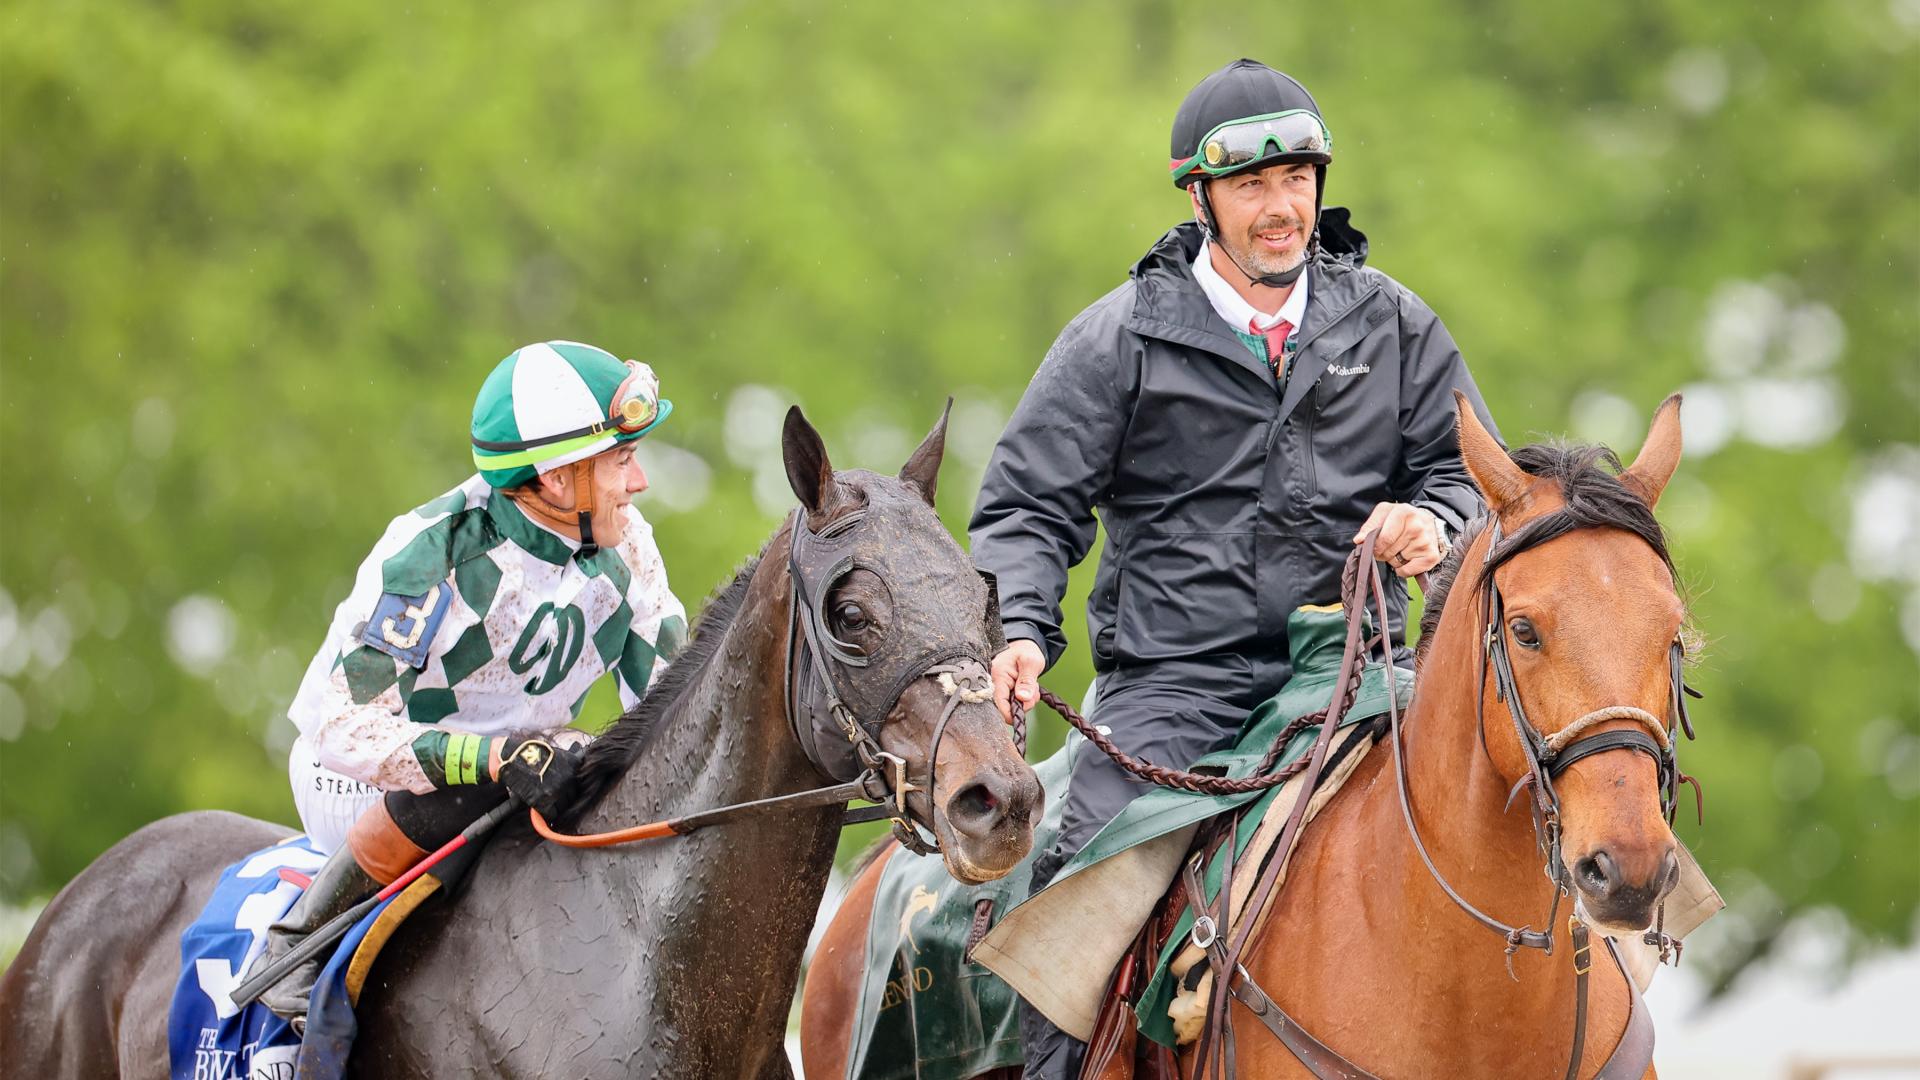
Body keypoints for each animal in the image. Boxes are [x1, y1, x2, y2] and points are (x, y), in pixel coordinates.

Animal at [0, 404, 1044, 1079]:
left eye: (984, 594)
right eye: (851, 613)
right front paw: (533, 762)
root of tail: (85, 894)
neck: (630, 960)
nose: (1001, 801)